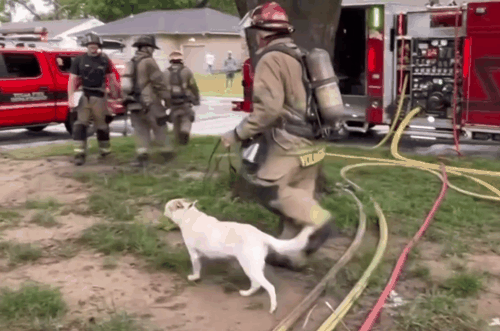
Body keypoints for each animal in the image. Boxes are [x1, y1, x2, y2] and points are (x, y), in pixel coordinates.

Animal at [164, 198, 314, 316]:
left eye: (167, 207)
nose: (164, 211)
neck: (190, 216)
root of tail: (261, 234)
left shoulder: (193, 254)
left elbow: (196, 269)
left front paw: (194, 278)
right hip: (252, 267)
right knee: (256, 284)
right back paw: (246, 294)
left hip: (249, 267)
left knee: (268, 286)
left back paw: (272, 308)